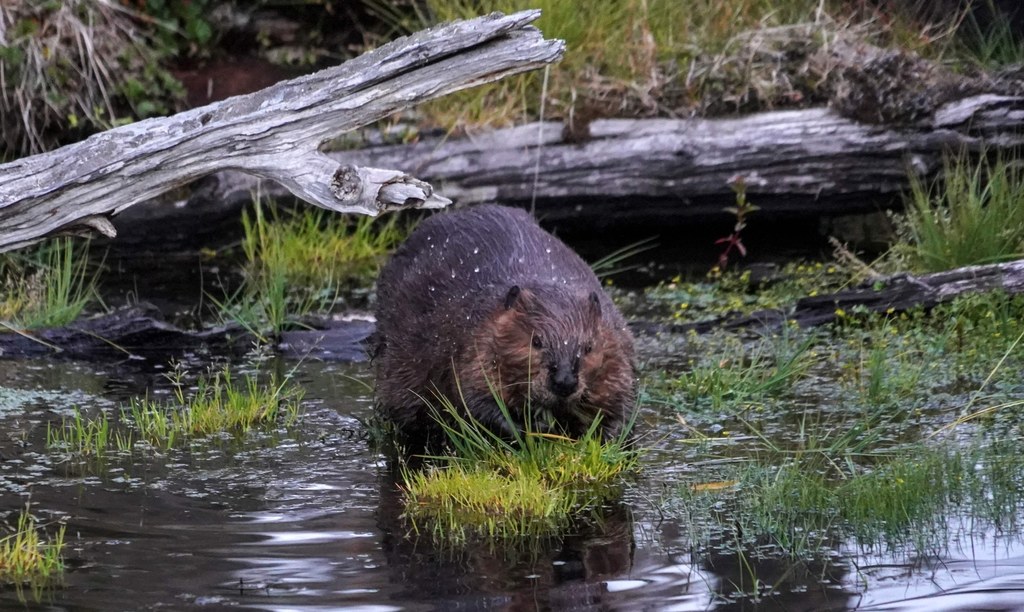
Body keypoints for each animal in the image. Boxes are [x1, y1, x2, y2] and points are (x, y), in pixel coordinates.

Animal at [372, 203, 634, 448]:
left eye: (588, 347)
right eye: (536, 341)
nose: (564, 381)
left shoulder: (616, 344)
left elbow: (621, 404)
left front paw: (604, 437)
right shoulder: (473, 341)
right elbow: (473, 401)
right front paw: (534, 428)